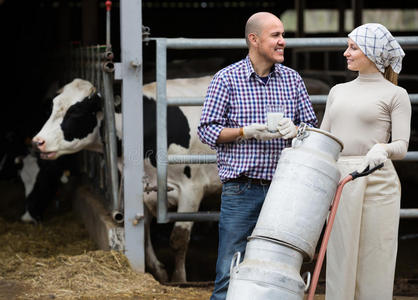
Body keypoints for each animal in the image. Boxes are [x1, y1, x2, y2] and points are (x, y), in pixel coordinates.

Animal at [31, 77, 222, 284]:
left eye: (76, 112)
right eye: (52, 108)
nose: (38, 141)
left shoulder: (191, 188)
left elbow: (179, 239)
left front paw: (178, 280)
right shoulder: (142, 188)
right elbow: (144, 235)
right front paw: (159, 272)